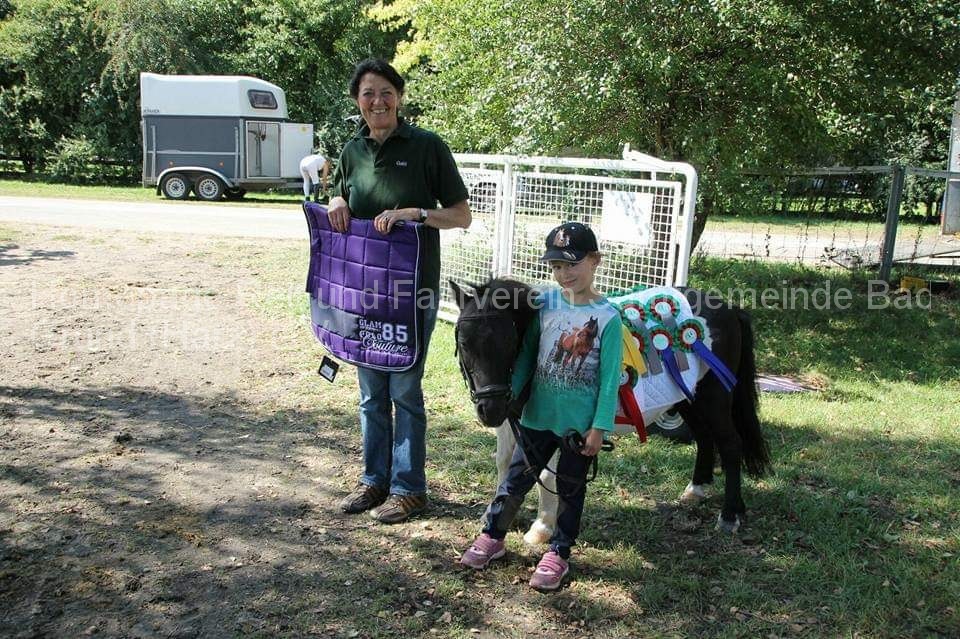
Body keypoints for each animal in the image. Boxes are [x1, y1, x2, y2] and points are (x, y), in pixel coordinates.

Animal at [451, 277, 771, 541]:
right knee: (705, 439)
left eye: (509, 339)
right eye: (464, 342)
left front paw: (541, 528)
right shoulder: (512, 420)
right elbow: (505, 463)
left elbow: (544, 474)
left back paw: (729, 516)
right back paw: (695, 490)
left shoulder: (546, 423)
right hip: (688, 399)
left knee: (729, 444)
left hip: (714, 398)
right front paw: (494, 513)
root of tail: (729, 309)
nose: (490, 409)